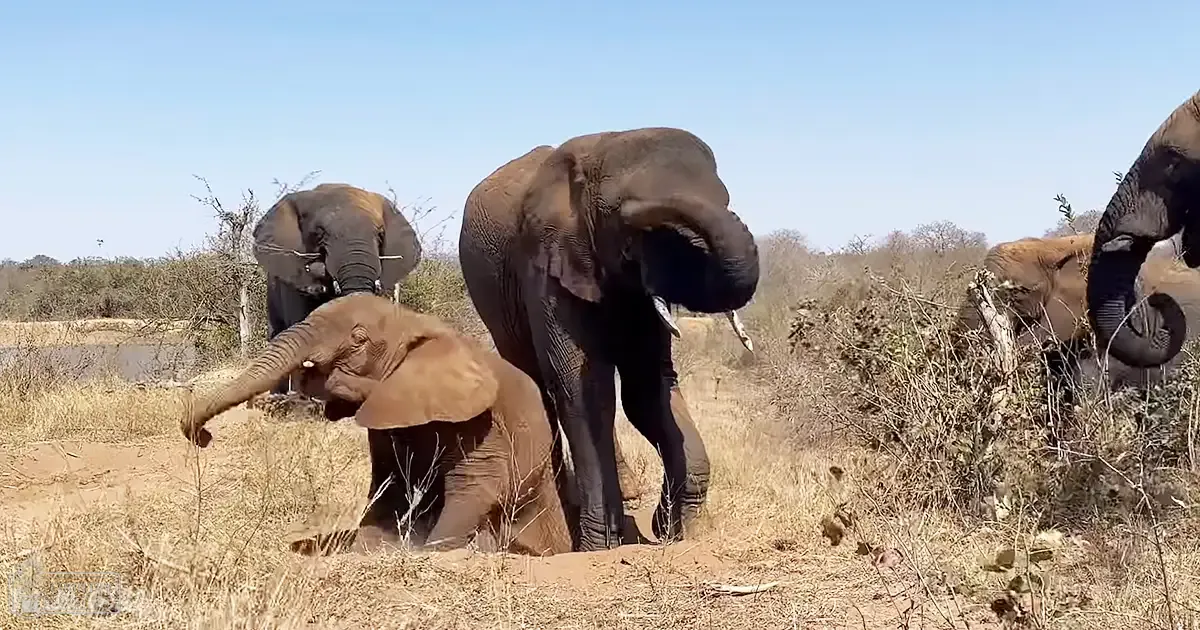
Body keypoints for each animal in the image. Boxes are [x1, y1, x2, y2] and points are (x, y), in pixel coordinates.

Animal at [179, 293, 572, 557]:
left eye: (358, 339)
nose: (202, 436)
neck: (414, 322)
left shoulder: (477, 417)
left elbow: (477, 484)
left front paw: (431, 551)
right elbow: (390, 482)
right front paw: (368, 548)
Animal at [459, 127, 760, 551]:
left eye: (726, 199)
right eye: (629, 224)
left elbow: (647, 388)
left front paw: (674, 529)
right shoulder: (546, 265)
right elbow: (583, 393)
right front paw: (598, 547)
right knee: (537, 388)